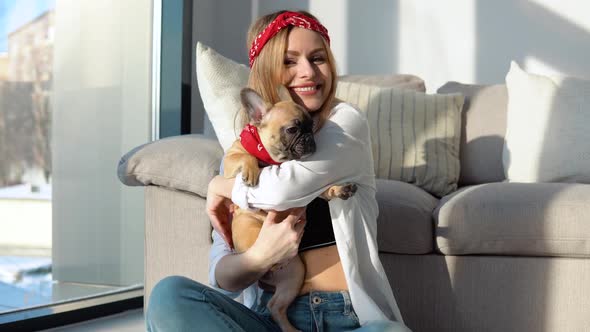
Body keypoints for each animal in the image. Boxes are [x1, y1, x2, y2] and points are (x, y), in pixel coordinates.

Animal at [224, 87, 356, 330]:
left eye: (311, 126)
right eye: (293, 129)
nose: (310, 138)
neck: (274, 159)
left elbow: (324, 191)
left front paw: (338, 190)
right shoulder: (231, 159)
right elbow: (245, 156)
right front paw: (251, 171)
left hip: (294, 274)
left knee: (275, 306)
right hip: (249, 229)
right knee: (256, 253)